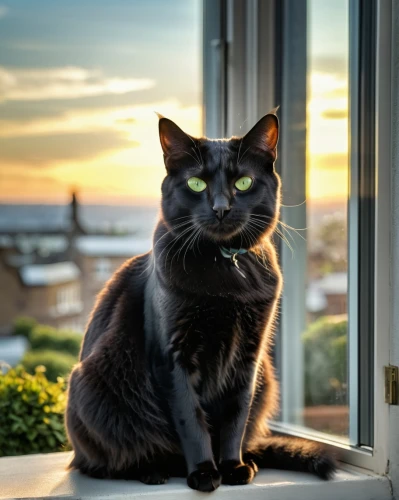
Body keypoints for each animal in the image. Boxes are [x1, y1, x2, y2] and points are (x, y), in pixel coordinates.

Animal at [66, 111, 338, 490]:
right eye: (196, 184)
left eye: (243, 183)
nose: (221, 208)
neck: (224, 267)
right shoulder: (173, 356)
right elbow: (192, 420)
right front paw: (205, 472)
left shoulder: (249, 358)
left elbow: (235, 417)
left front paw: (233, 466)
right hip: (91, 388)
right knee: (104, 459)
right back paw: (153, 469)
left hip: (267, 380)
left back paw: (249, 460)